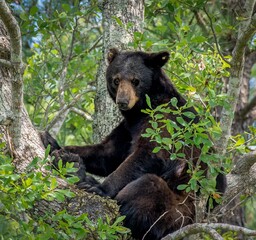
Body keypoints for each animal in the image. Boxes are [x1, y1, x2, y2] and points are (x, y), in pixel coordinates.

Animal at [42, 48, 226, 240]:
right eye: (116, 80)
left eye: (135, 80)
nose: (122, 101)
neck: (141, 110)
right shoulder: (128, 128)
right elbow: (107, 153)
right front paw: (56, 145)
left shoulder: (165, 120)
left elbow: (149, 154)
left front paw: (99, 188)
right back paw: (75, 166)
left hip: (178, 210)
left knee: (148, 187)